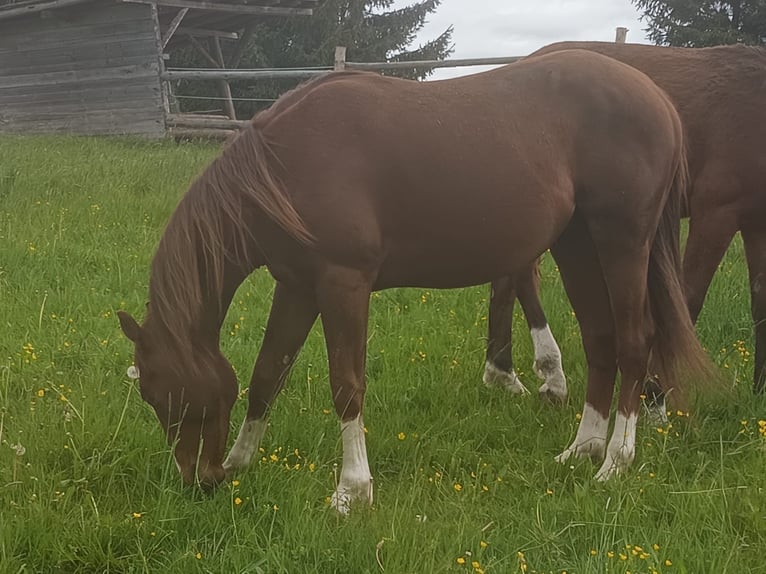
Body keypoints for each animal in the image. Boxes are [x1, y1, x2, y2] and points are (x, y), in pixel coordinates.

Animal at [117, 49, 710, 513]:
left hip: (621, 242)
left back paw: (615, 463)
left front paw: (351, 491)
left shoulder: (343, 285)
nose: (200, 479)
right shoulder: (298, 287)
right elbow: (267, 373)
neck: (283, 167)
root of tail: (658, 99)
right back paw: (581, 450)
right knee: (601, 341)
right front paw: (243, 460)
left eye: (158, 391)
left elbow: (346, 385)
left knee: (634, 341)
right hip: (576, 246)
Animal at [484, 42, 766, 407]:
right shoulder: (717, 212)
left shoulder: (757, 223)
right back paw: (547, 375)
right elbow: (687, 301)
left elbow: (760, 304)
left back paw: (502, 372)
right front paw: (655, 394)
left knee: (508, 279)